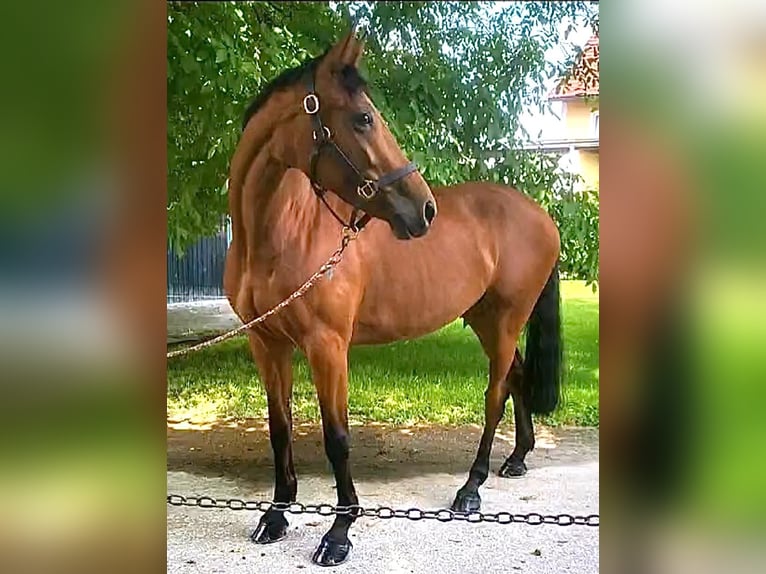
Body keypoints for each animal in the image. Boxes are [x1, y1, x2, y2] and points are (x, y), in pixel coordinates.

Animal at [224, 30, 562, 566]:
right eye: (363, 118)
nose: (424, 209)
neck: (282, 236)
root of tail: (542, 214)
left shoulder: (327, 346)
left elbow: (337, 438)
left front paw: (339, 533)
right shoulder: (266, 342)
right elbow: (279, 428)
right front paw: (275, 517)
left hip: (507, 320)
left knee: (495, 394)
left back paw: (471, 488)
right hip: (486, 319)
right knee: (517, 375)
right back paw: (516, 459)